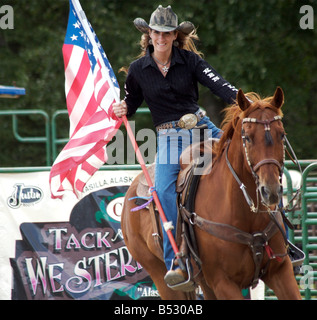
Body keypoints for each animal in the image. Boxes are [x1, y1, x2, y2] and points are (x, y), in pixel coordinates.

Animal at [119, 86, 300, 298]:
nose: (270, 190)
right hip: (159, 274)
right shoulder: (223, 282)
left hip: (204, 282)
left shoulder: (281, 271)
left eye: (281, 134)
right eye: (247, 137)